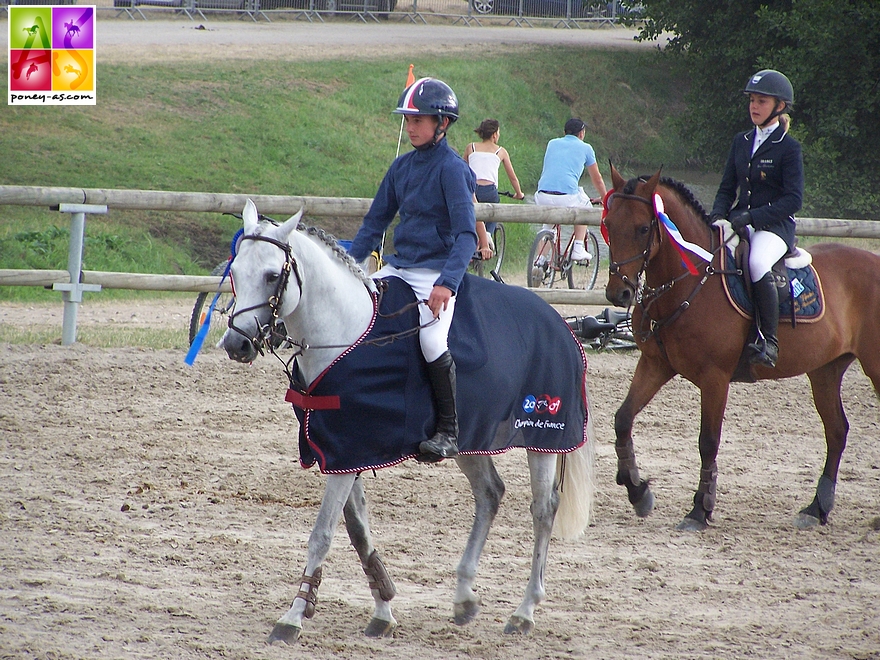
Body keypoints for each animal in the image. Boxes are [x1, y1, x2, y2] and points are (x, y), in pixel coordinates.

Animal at [600, 165, 880, 532]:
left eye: (643, 228)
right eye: (608, 225)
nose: (618, 293)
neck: (690, 282)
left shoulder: (715, 377)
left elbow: (708, 441)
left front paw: (699, 510)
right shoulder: (655, 364)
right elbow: (623, 419)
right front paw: (637, 491)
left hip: (874, 366)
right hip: (825, 371)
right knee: (836, 431)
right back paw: (816, 509)